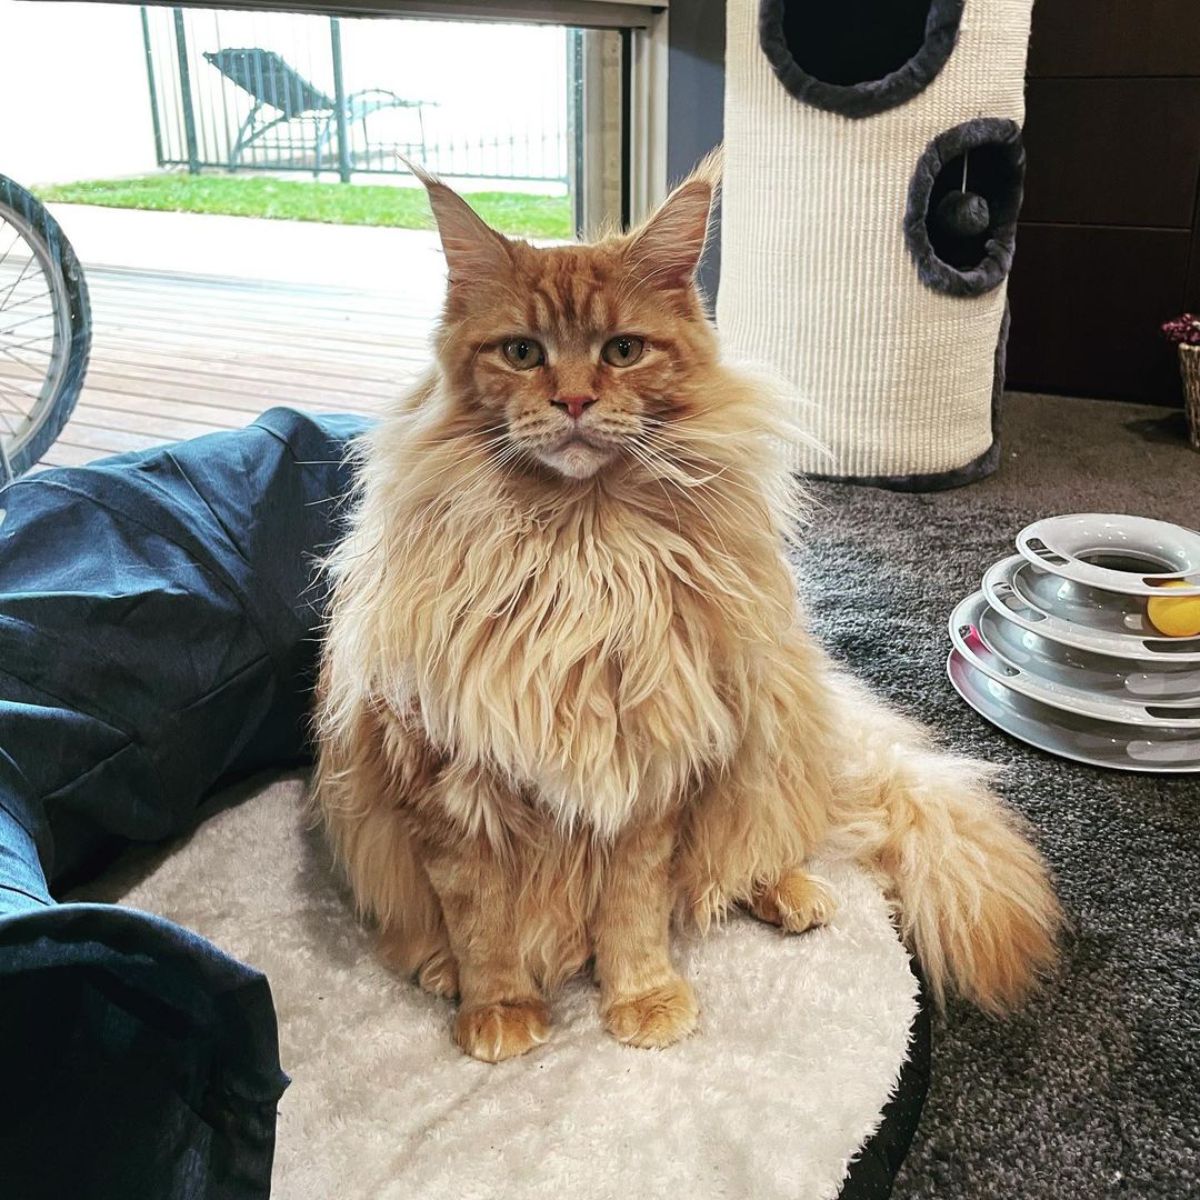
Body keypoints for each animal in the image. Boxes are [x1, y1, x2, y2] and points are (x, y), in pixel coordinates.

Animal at [314, 157, 1065, 1060]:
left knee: (767, 847)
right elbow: (482, 921)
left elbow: (635, 909)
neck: (581, 553)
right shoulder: (447, 781)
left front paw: (643, 1000)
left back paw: (792, 894)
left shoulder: (652, 766)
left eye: (623, 350)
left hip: (768, 736)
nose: (572, 402)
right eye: (523, 353)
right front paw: (498, 1009)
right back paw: (439, 972)